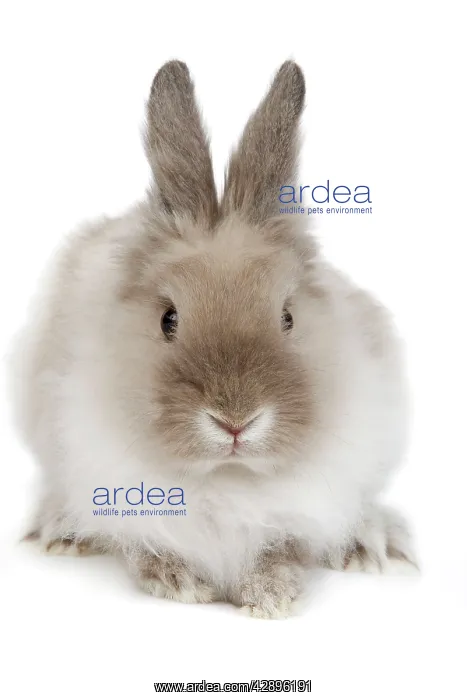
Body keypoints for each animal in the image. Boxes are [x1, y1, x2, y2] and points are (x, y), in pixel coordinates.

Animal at [10, 60, 416, 618]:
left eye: (288, 317)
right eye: (168, 319)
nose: (235, 421)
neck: (226, 478)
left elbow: (280, 545)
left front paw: (271, 594)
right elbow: (146, 544)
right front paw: (179, 582)